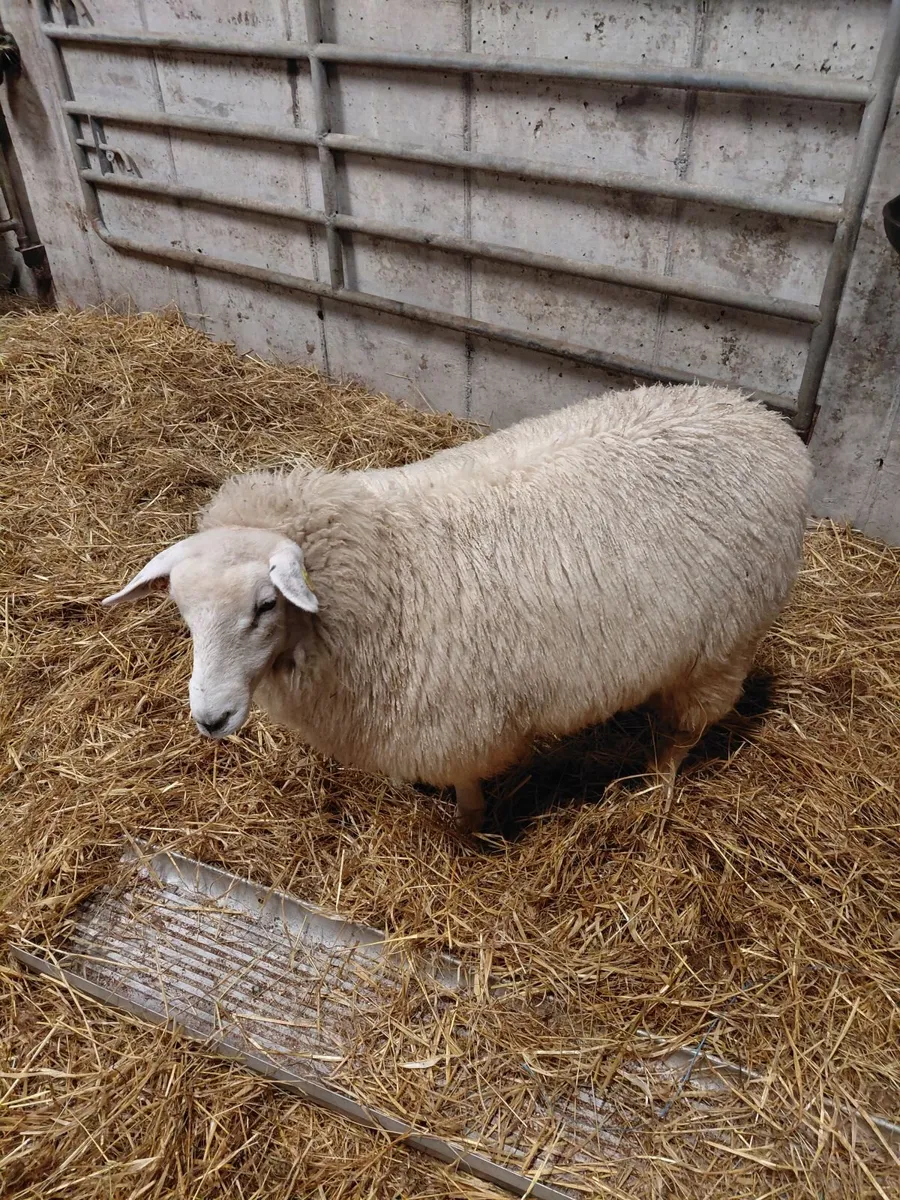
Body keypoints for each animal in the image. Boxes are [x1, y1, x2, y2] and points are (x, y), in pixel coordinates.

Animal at [103, 382, 811, 834]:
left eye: (265, 605)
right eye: (182, 613)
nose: (211, 719)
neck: (378, 572)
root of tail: (761, 418)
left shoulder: (461, 725)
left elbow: (467, 786)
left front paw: (470, 828)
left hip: (727, 641)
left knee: (691, 726)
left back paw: (656, 785)